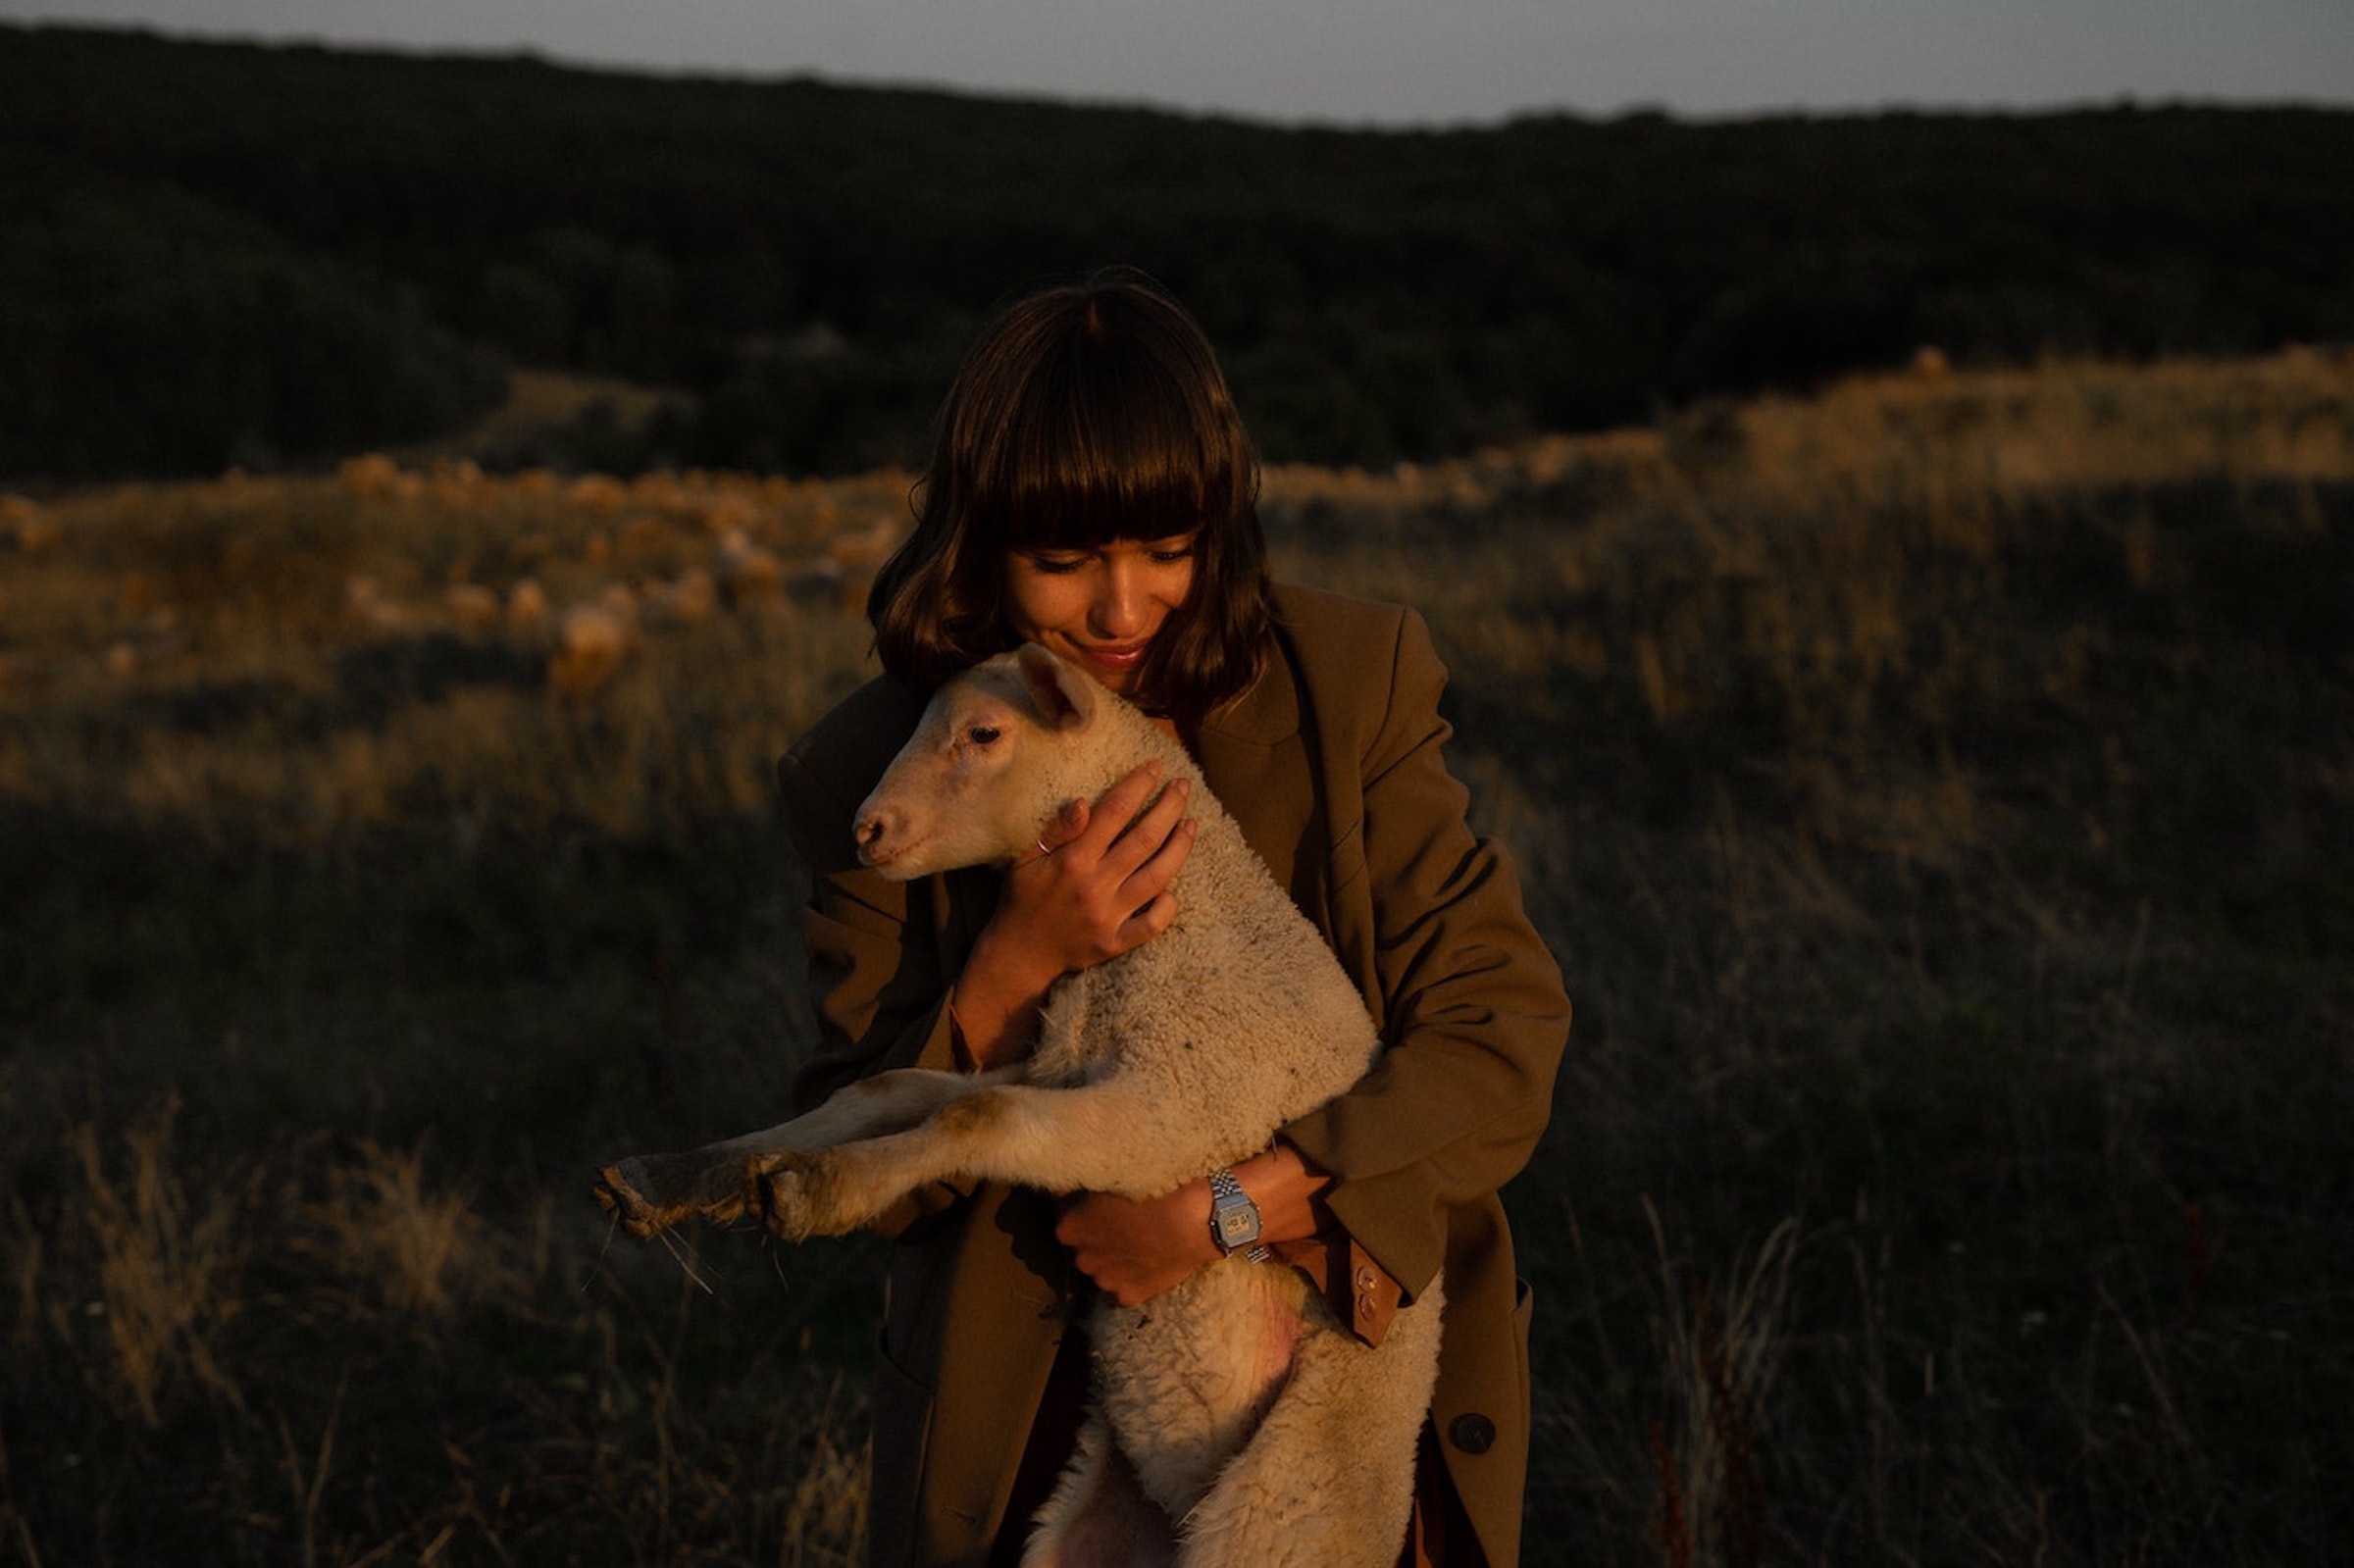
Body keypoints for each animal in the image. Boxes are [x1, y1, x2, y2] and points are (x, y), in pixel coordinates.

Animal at [592, 640, 1431, 1563]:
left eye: (985, 732)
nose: (865, 830)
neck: (1179, 927)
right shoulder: (1053, 1065)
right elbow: (889, 1087)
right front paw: (689, 1176)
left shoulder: (1181, 1107)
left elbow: (972, 1118)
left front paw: (814, 1188)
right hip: (1081, 1524)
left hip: (1286, 1503)